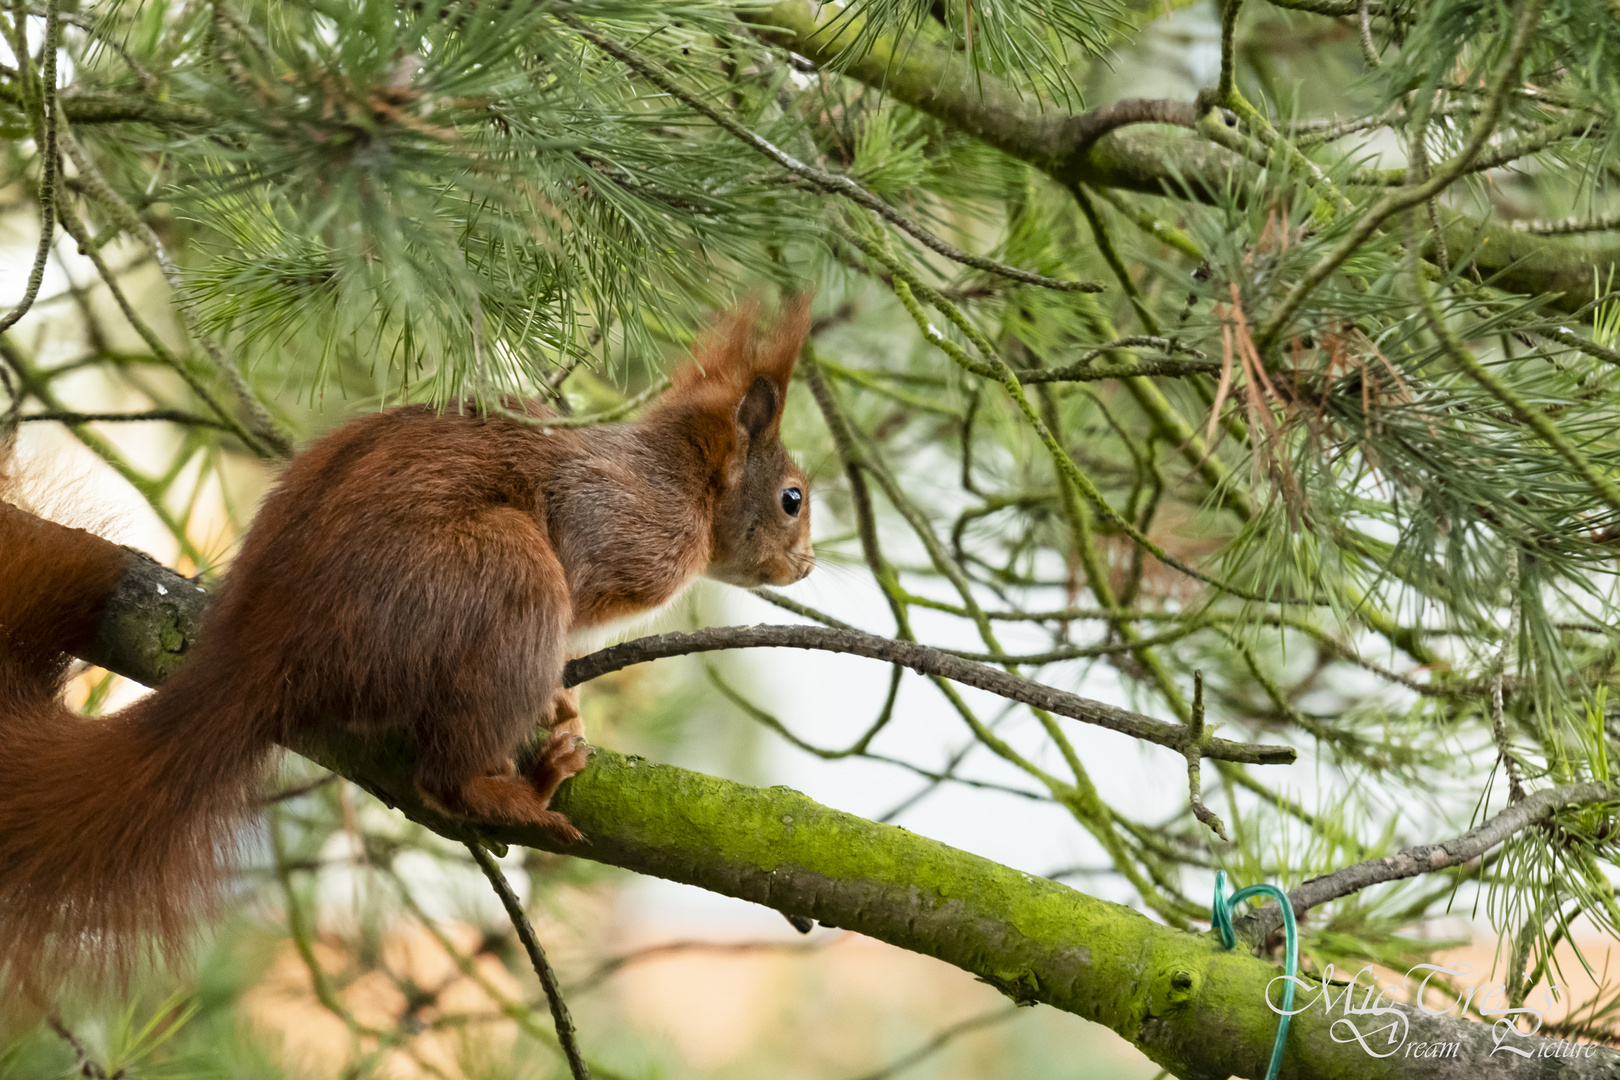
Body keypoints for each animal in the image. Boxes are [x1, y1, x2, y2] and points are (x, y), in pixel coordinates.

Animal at [0, 296, 810, 997]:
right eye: (792, 499)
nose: (805, 566)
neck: (682, 480)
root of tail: (264, 654)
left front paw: (563, 697)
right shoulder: (618, 526)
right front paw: (556, 695)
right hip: (500, 576)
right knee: (442, 775)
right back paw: (519, 790)